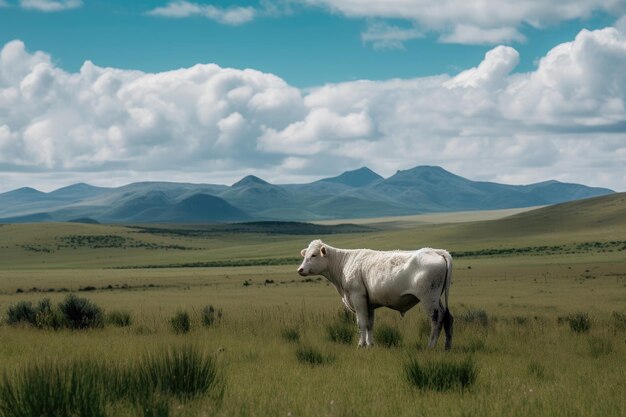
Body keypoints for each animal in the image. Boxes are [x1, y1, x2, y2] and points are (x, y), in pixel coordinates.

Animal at [294, 239, 450, 350]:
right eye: (305, 255)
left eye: (314, 255)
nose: (300, 269)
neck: (344, 264)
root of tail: (436, 251)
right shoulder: (369, 303)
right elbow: (370, 324)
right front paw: (370, 344)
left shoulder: (358, 297)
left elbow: (361, 323)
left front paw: (361, 345)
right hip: (437, 298)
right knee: (448, 317)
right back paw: (447, 346)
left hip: (429, 298)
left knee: (436, 319)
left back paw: (430, 346)